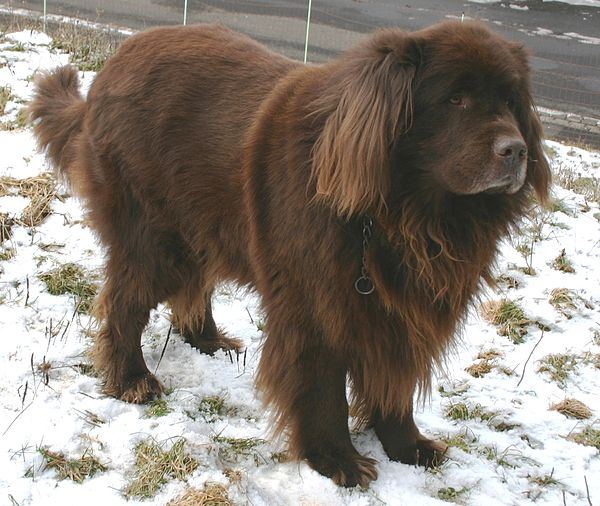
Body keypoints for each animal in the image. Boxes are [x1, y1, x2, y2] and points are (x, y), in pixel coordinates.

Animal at [31, 21, 548, 488]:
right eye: (455, 100)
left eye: (510, 102)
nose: (516, 150)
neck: (401, 214)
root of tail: (113, 65)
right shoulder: (316, 306)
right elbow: (323, 389)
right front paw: (337, 461)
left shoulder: (397, 313)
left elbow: (393, 382)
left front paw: (408, 447)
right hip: (153, 235)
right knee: (126, 303)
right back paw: (132, 379)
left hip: (202, 221)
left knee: (193, 285)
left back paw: (208, 340)